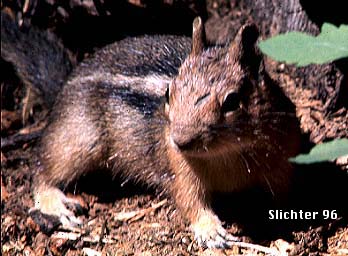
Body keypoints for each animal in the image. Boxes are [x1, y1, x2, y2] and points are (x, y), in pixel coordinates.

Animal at [1, 14, 300, 248]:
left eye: (232, 101)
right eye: (169, 93)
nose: (180, 140)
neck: (228, 153)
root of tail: (64, 84)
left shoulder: (283, 158)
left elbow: (283, 191)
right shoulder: (181, 168)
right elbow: (190, 200)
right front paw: (211, 231)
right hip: (78, 140)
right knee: (41, 165)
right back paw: (55, 203)